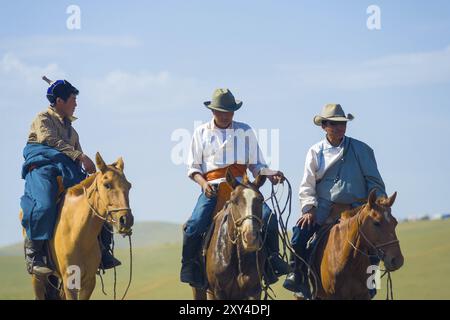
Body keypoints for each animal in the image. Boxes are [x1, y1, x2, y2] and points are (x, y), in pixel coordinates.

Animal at [21, 152, 134, 300]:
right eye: (107, 185)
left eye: (129, 186)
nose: (126, 220)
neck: (78, 233)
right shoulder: (69, 281)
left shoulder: (89, 282)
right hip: (38, 278)